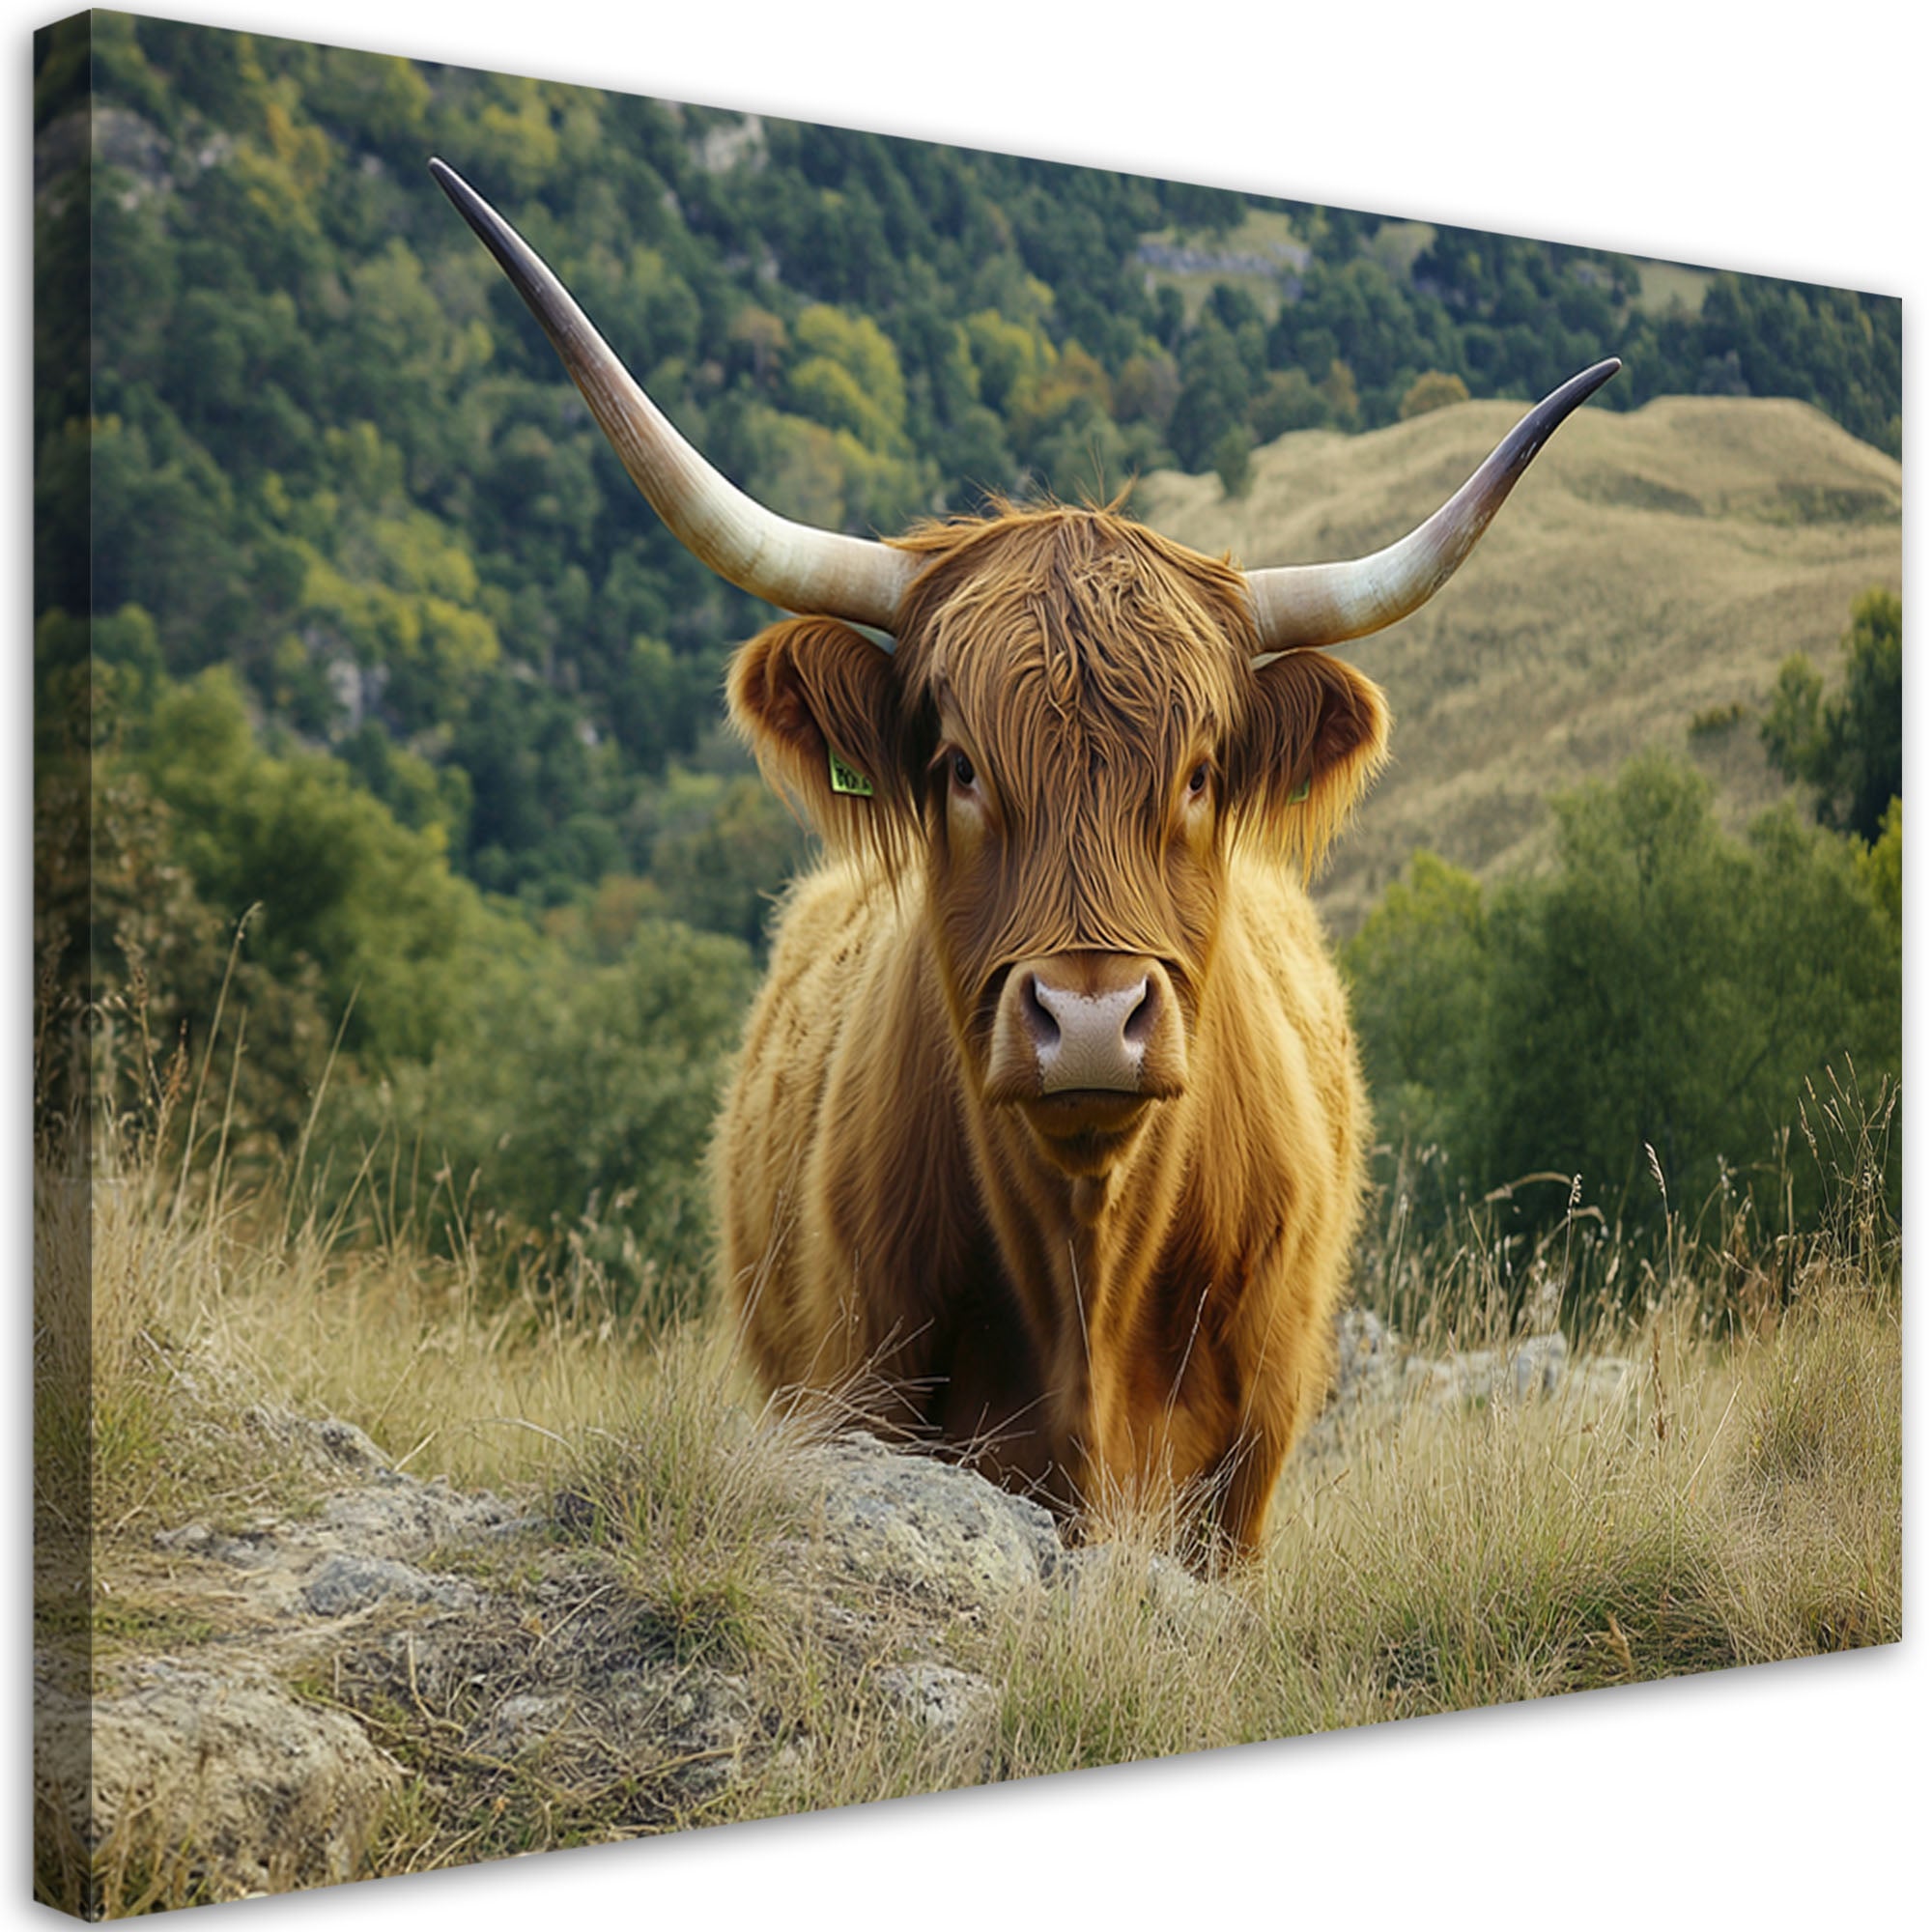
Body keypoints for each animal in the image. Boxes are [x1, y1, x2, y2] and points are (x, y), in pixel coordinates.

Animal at [433, 159, 1616, 1558]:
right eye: (957, 768)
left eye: (1200, 773)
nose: (1091, 1020)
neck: (1086, 1270)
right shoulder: (864, 1401)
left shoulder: (1244, 1477)